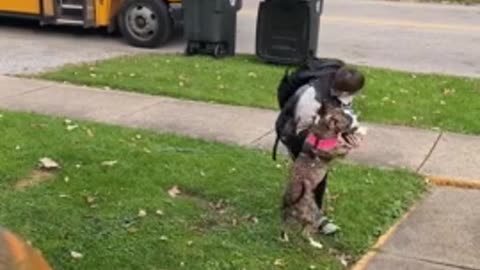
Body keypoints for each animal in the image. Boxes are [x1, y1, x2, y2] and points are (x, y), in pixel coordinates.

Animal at [280, 103, 358, 249]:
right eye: (347, 120)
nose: (354, 115)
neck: (323, 129)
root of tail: (293, 203)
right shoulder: (335, 151)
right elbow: (343, 149)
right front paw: (349, 144)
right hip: (314, 215)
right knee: (304, 233)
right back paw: (315, 244)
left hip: (287, 216)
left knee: (285, 226)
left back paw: (284, 238)